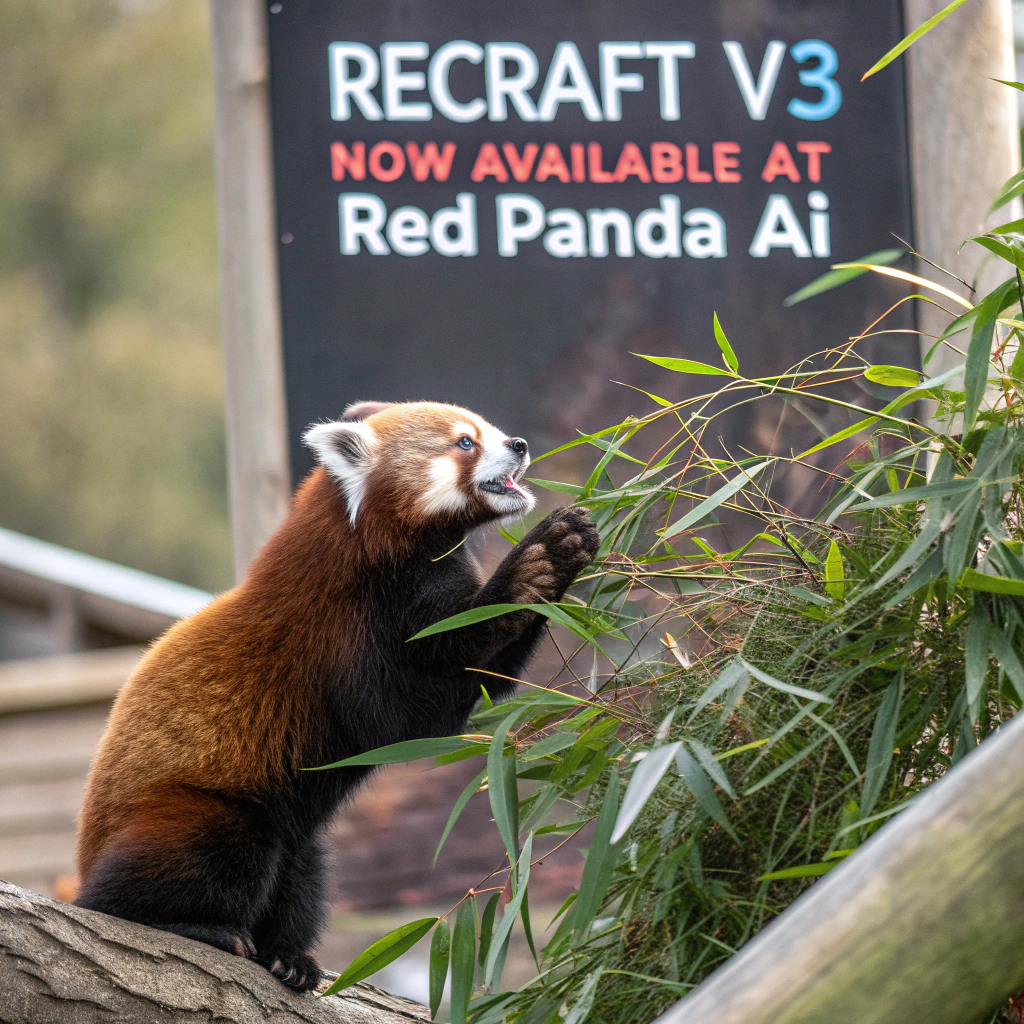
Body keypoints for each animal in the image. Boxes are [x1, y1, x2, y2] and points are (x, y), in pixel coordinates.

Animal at [74, 400, 600, 991]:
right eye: (466, 442)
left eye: (488, 430)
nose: (519, 444)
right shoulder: (344, 629)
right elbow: (404, 717)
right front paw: (532, 567)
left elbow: (479, 681)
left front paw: (562, 557)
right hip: (197, 813)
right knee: (195, 861)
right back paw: (196, 927)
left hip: (305, 843)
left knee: (305, 873)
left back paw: (287, 954)